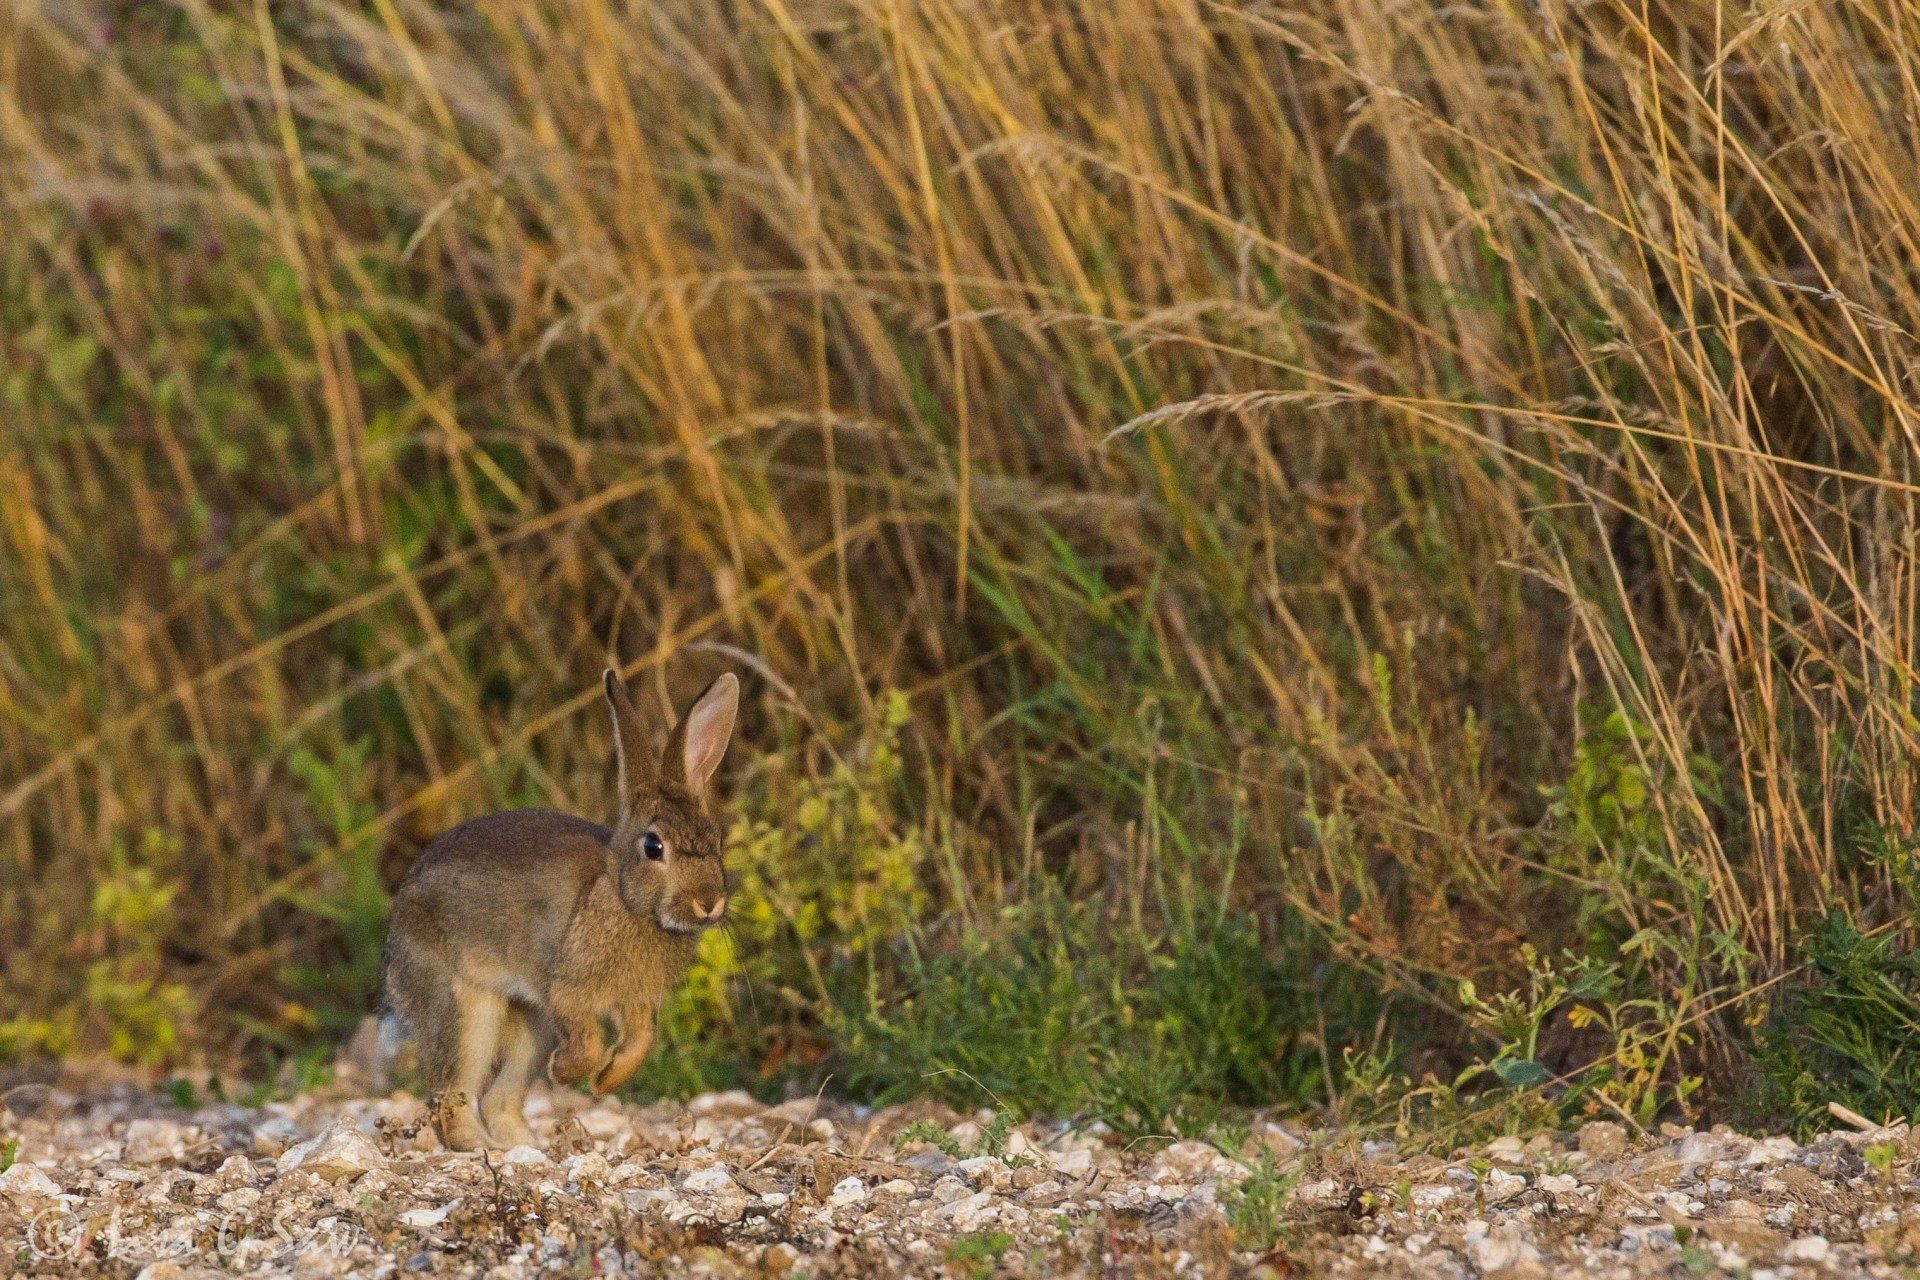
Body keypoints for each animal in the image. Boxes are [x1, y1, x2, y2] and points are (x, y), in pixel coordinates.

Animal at [383, 667, 738, 1150]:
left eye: (716, 838)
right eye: (653, 847)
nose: (708, 902)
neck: (622, 898)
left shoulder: (637, 1001)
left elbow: (641, 1041)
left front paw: (604, 1082)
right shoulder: (566, 991)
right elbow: (588, 1041)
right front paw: (566, 1073)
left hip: (531, 1024)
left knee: (497, 1099)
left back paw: (527, 1148)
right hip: (464, 1009)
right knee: (451, 1097)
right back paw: (483, 1149)